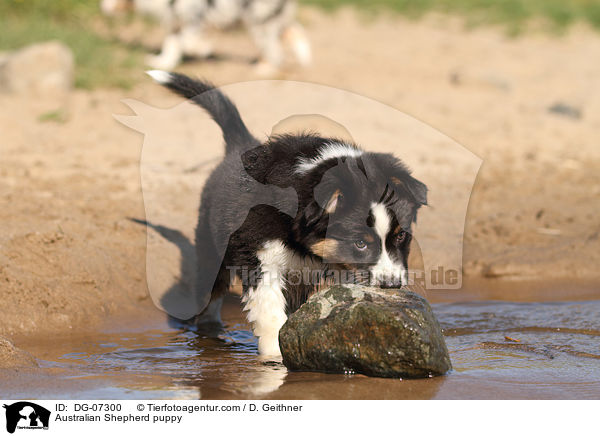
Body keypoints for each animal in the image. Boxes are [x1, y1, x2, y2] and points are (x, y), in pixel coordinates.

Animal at [101, 0, 312, 73]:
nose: (103, 7)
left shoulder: (193, 15)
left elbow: (187, 40)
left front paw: (203, 50)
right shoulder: (176, 20)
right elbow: (172, 43)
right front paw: (163, 62)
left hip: (259, 20)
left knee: (273, 46)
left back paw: (265, 67)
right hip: (269, 18)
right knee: (293, 29)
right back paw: (305, 58)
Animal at [146, 71, 426, 356]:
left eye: (401, 236)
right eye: (360, 243)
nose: (392, 285)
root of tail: (239, 145)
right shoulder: (259, 257)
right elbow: (269, 311)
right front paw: (275, 357)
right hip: (212, 251)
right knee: (209, 298)